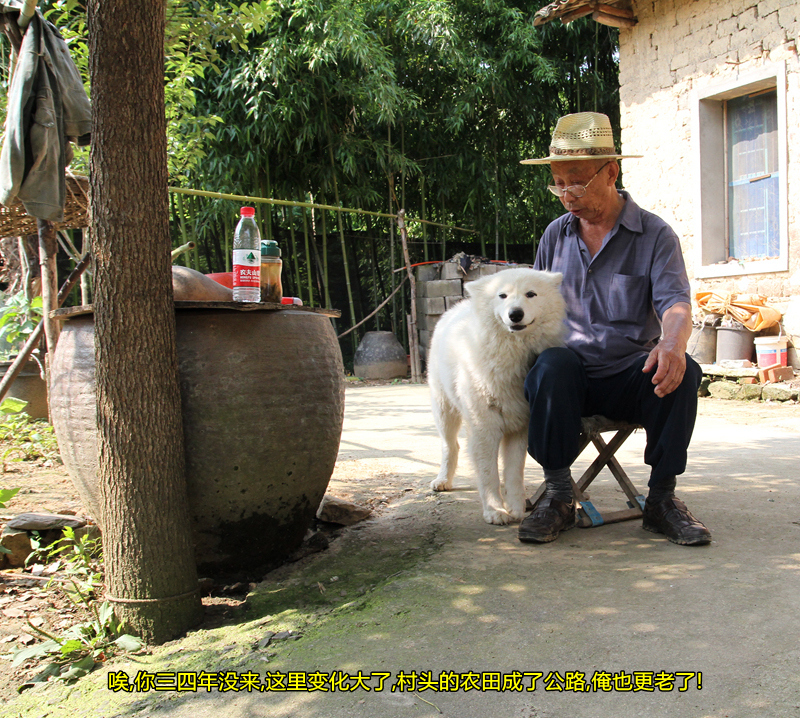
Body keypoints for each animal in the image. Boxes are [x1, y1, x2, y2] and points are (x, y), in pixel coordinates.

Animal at [428, 268, 564, 524]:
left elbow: (513, 471)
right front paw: (495, 511)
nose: (515, 314)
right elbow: (488, 472)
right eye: (502, 295)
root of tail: (455, 307)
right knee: (449, 445)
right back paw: (442, 480)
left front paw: (516, 508)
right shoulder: (484, 424)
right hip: (443, 408)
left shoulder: (520, 425)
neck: (510, 352)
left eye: (531, 294)